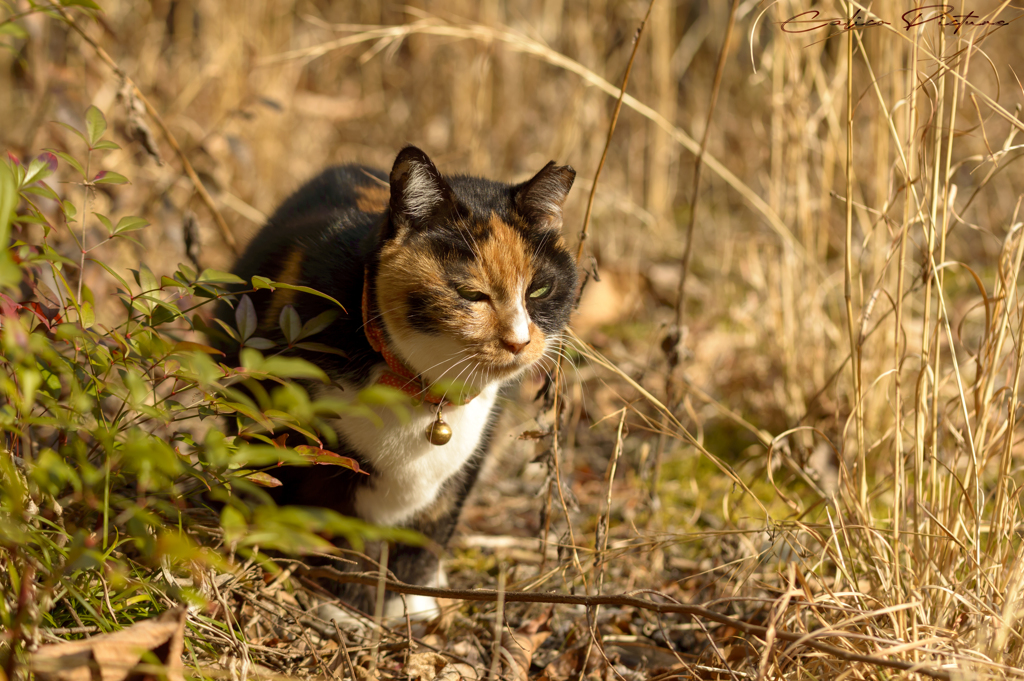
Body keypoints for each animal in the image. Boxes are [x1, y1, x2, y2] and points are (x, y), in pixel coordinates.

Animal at [230, 146, 577, 618]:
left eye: (539, 291)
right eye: (471, 294)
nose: (519, 340)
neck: (423, 393)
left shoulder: (465, 466)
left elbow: (429, 531)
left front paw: (415, 605)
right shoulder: (319, 458)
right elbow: (342, 533)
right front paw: (348, 608)